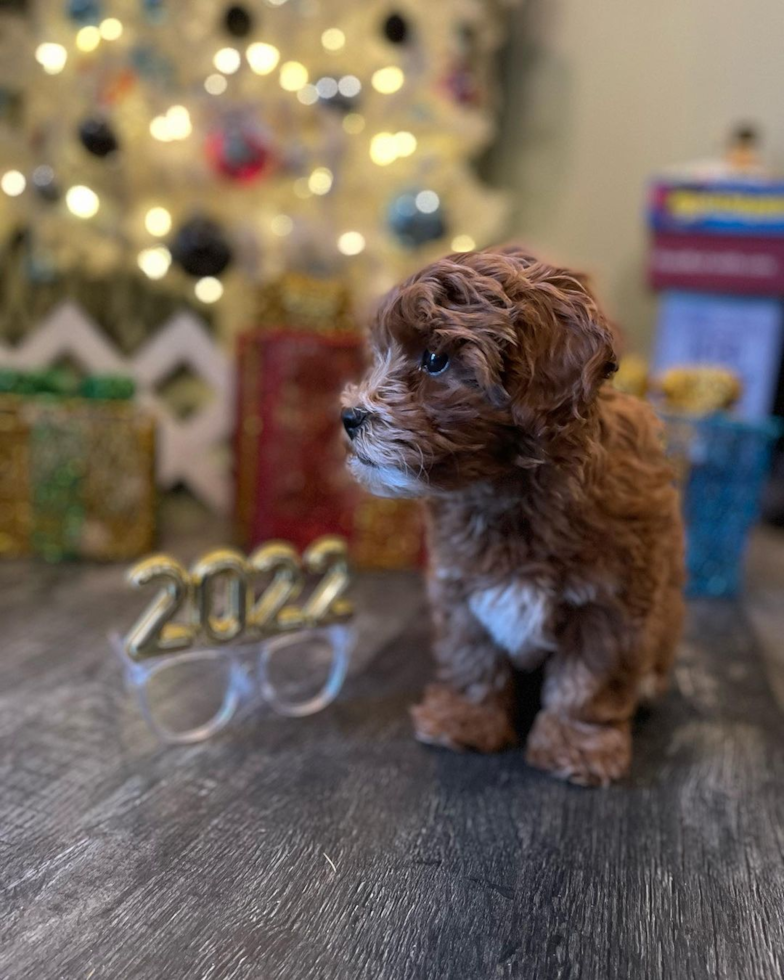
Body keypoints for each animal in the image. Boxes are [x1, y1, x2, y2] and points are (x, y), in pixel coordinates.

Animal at [340, 247, 684, 788]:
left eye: (435, 360)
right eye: (379, 356)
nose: (349, 418)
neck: (507, 489)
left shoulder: (611, 601)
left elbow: (589, 677)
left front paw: (576, 746)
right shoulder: (460, 586)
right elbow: (472, 657)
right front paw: (465, 721)